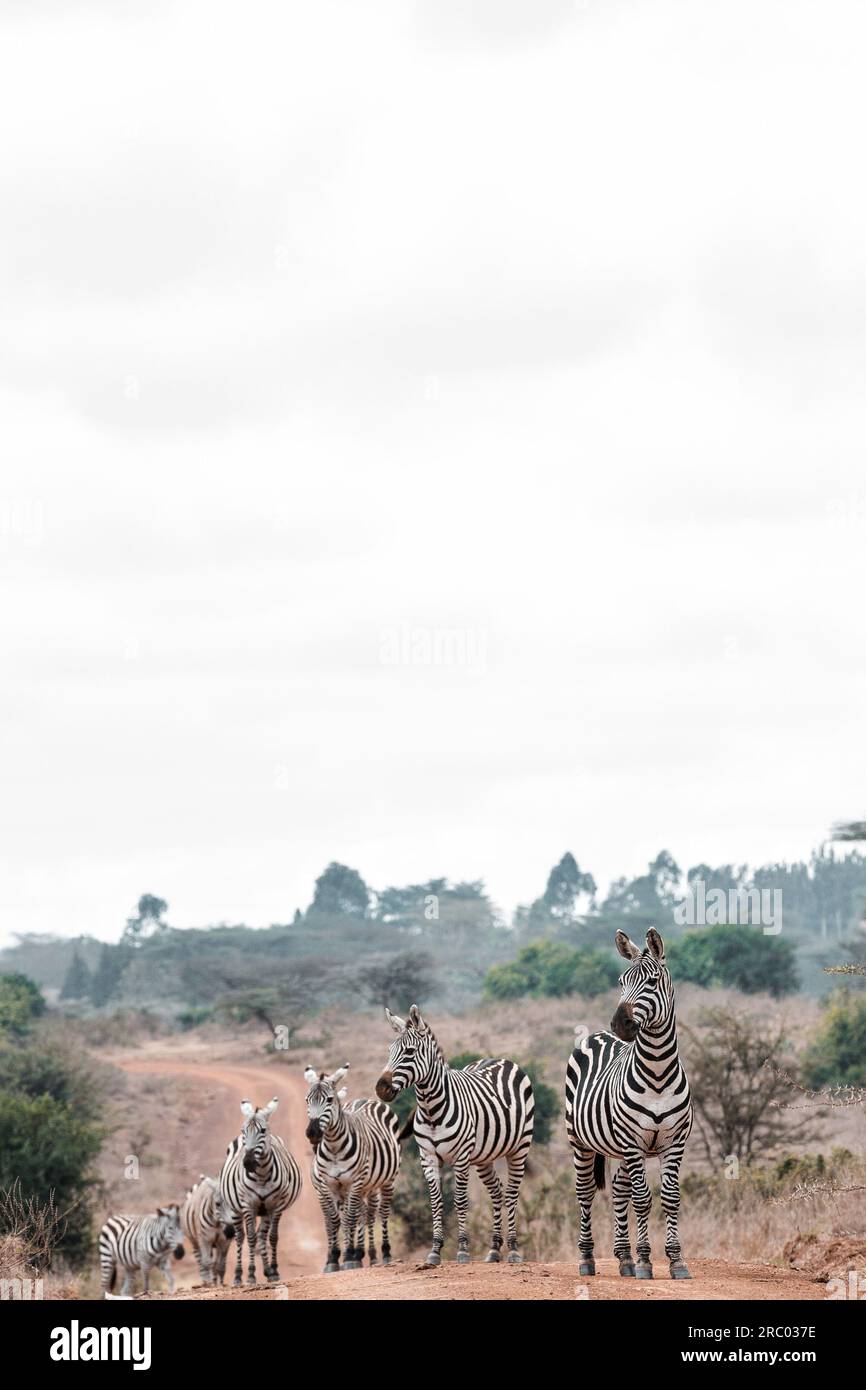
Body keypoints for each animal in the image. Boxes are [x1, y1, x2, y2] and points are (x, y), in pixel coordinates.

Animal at [218, 1095, 303, 1278]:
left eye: (263, 1131)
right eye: (244, 1131)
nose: (248, 1163)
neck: (262, 1175)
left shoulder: (275, 1205)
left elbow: (273, 1237)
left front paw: (274, 1270)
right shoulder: (248, 1205)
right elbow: (250, 1238)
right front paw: (250, 1274)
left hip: (264, 1210)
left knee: (262, 1236)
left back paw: (268, 1271)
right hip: (235, 1209)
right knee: (240, 1236)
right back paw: (238, 1275)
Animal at [303, 1061, 400, 1273]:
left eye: (329, 1100)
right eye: (307, 1100)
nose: (312, 1133)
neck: (333, 1147)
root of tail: (364, 1100)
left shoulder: (353, 1183)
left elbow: (349, 1219)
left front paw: (348, 1257)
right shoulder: (328, 1185)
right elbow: (333, 1221)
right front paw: (333, 1259)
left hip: (387, 1180)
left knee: (380, 1213)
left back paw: (383, 1254)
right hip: (366, 1186)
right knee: (365, 1213)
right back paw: (363, 1253)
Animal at [567, 934, 695, 1278]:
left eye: (652, 982)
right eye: (621, 982)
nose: (620, 1024)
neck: (658, 1074)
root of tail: (597, 1034)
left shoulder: (674, 1142)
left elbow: (670, 1198)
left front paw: (676, 1260)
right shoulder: (633, 1142)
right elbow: (642, 1199)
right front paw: (645, 1261)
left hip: (620, 1148)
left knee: (618, 1189)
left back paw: (623, 1257)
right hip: (580, 1140)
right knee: (585, 1191)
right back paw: (587, 1258)